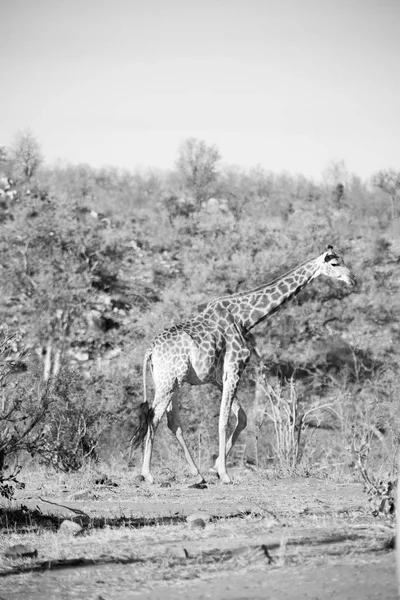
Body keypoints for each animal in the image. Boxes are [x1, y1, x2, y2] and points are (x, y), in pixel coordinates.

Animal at [132, 246, 356, 486]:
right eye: (334, 264)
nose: (353, 280)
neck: (244, 318)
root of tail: (150, 351)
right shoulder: (235, 366)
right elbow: (224, 419)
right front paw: (224, 473)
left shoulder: (219, 377)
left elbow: (242, 417)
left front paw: (215, 467)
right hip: (169, 382)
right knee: (153, 417)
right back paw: (148, 474)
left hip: (172, 381)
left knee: (172, 422)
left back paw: (197, 474)